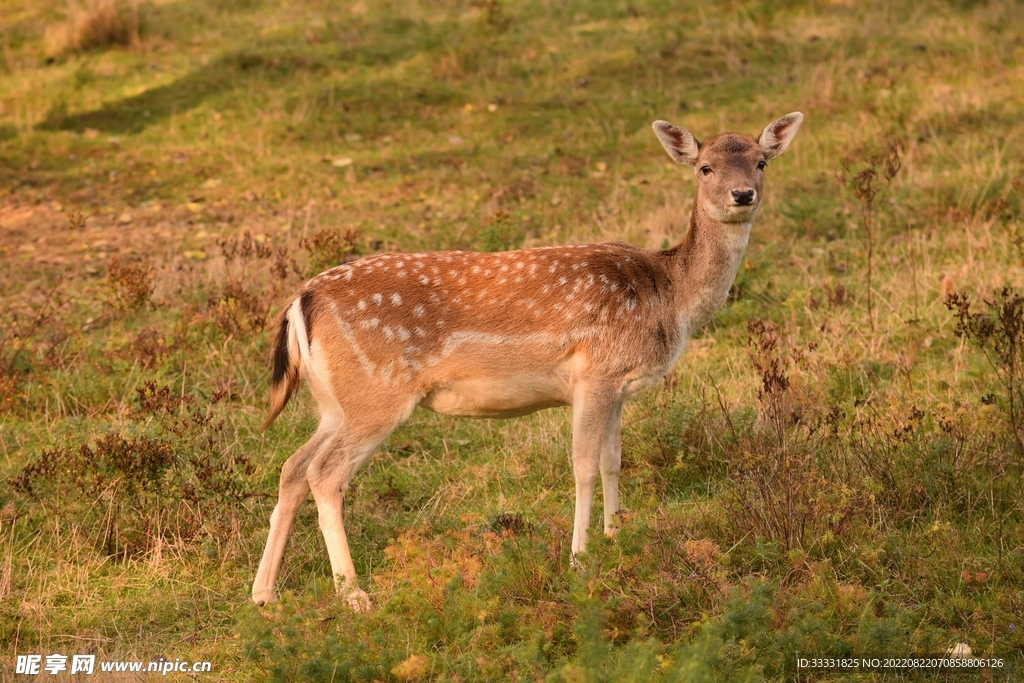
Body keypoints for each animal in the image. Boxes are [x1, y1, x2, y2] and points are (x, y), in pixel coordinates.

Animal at [251, 112, 803, 610]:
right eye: (705, 167)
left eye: (761, 162)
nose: (742, 194)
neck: (669, 296)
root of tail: (300, 300)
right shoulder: (593, 373)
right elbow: (583, 466)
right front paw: (580, 559)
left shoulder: (619, 386)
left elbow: (613, 461)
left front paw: (616, 539)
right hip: (376, 394)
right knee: (325, 473)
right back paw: (353, 594)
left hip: (335, 401)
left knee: (292, 466)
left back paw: (264, 594)